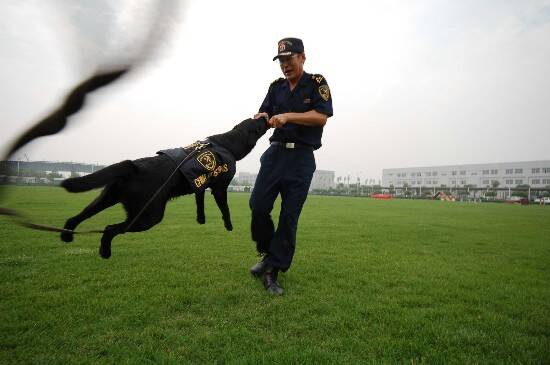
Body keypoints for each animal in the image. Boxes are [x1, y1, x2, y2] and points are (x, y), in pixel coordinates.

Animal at [59, 118, 270, 258]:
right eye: (257, 123)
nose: (264, 115)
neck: (226, 143)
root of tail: (133, 167)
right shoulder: (220, 187)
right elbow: (225, 208)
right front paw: (229, 226)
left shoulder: (200, 183)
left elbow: (199, 199)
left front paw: (201, 219)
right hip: (148, 216)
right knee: (110, 229)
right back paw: (104, 251)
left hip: (107, 197)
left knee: (76, 217)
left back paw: (66, 236)